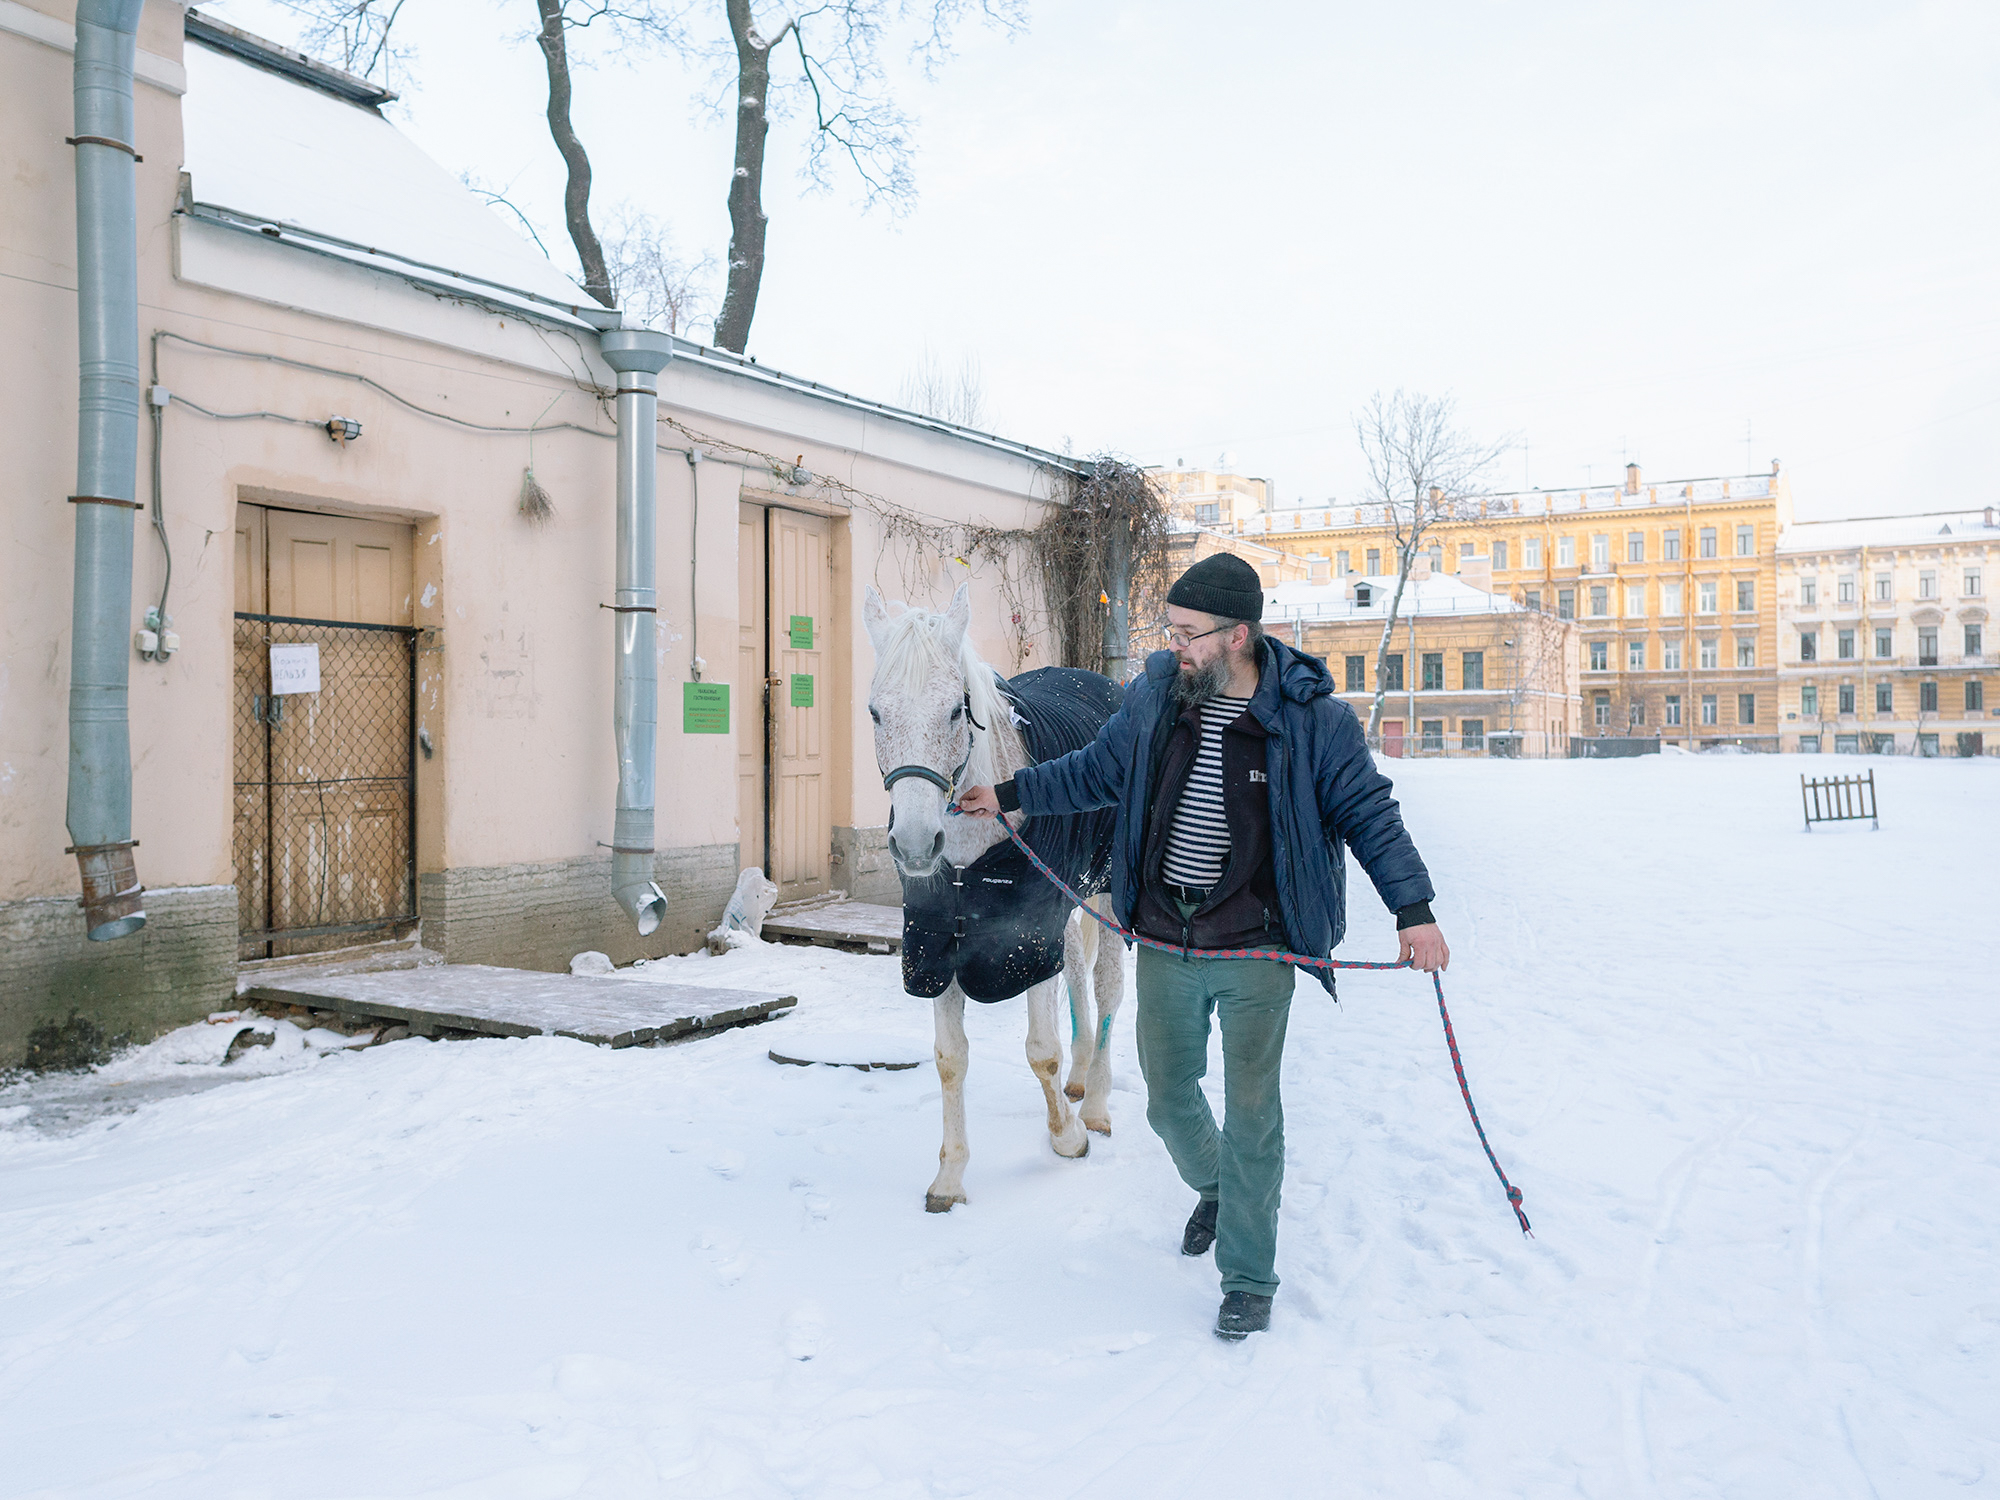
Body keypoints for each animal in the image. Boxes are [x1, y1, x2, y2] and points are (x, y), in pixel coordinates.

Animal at [863, 583, 1127, 1213]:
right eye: (876, 712)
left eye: (956, 710)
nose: (916, 844)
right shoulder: (937, 945)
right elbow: (949, 1058)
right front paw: (950, 1177)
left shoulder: (1025, 938)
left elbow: (1041, 1050)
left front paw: (1068, 1139)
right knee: (1076, 972)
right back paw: (1080, 1079)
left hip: (1105, 891)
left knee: (1106, 986)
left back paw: (1096, 1105)